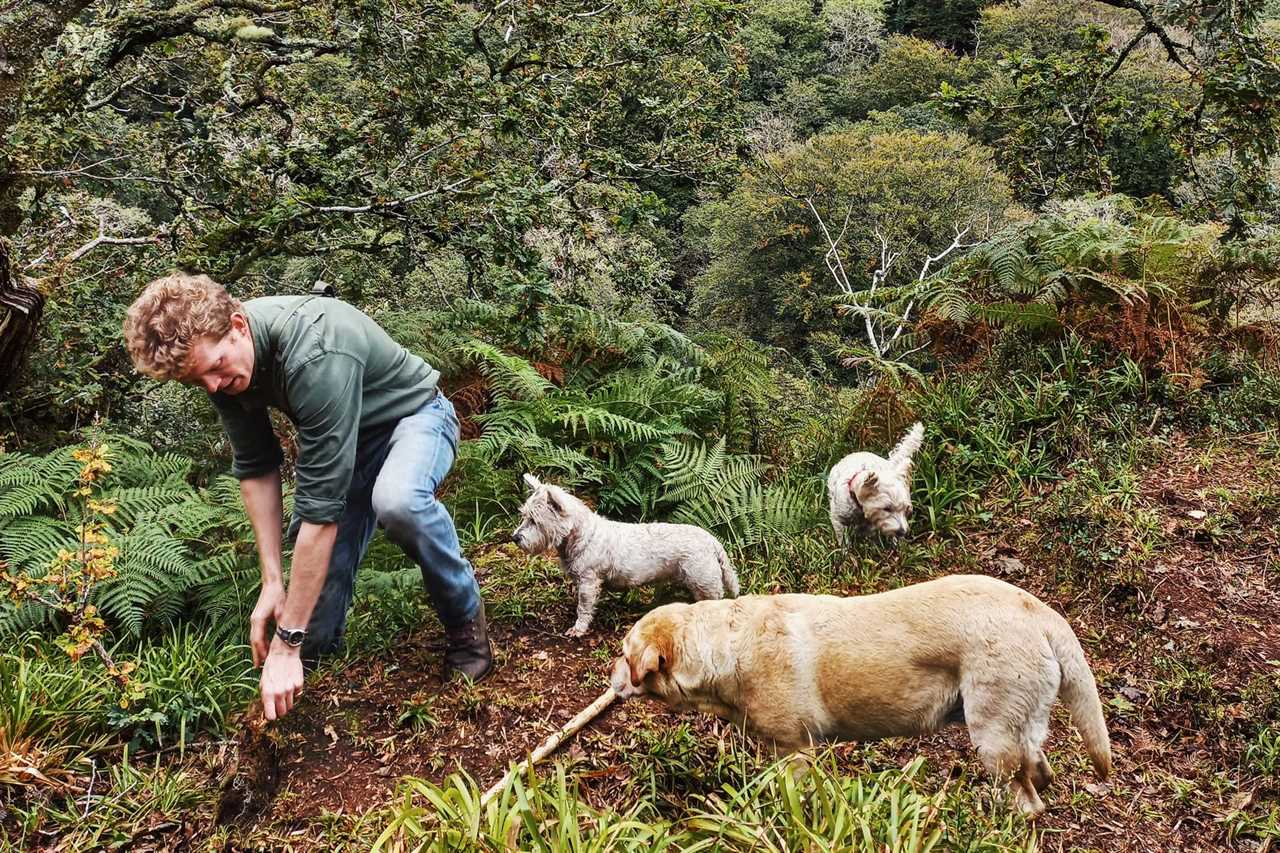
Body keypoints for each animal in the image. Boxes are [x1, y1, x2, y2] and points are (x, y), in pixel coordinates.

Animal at [509, 473, 742, 635]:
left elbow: (584, 607)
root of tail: (712, 541)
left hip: (704, 582)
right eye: (524, 516)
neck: (581, 536)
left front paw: (579, 628)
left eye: (534, 520)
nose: (515, 538)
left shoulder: (589, 581)